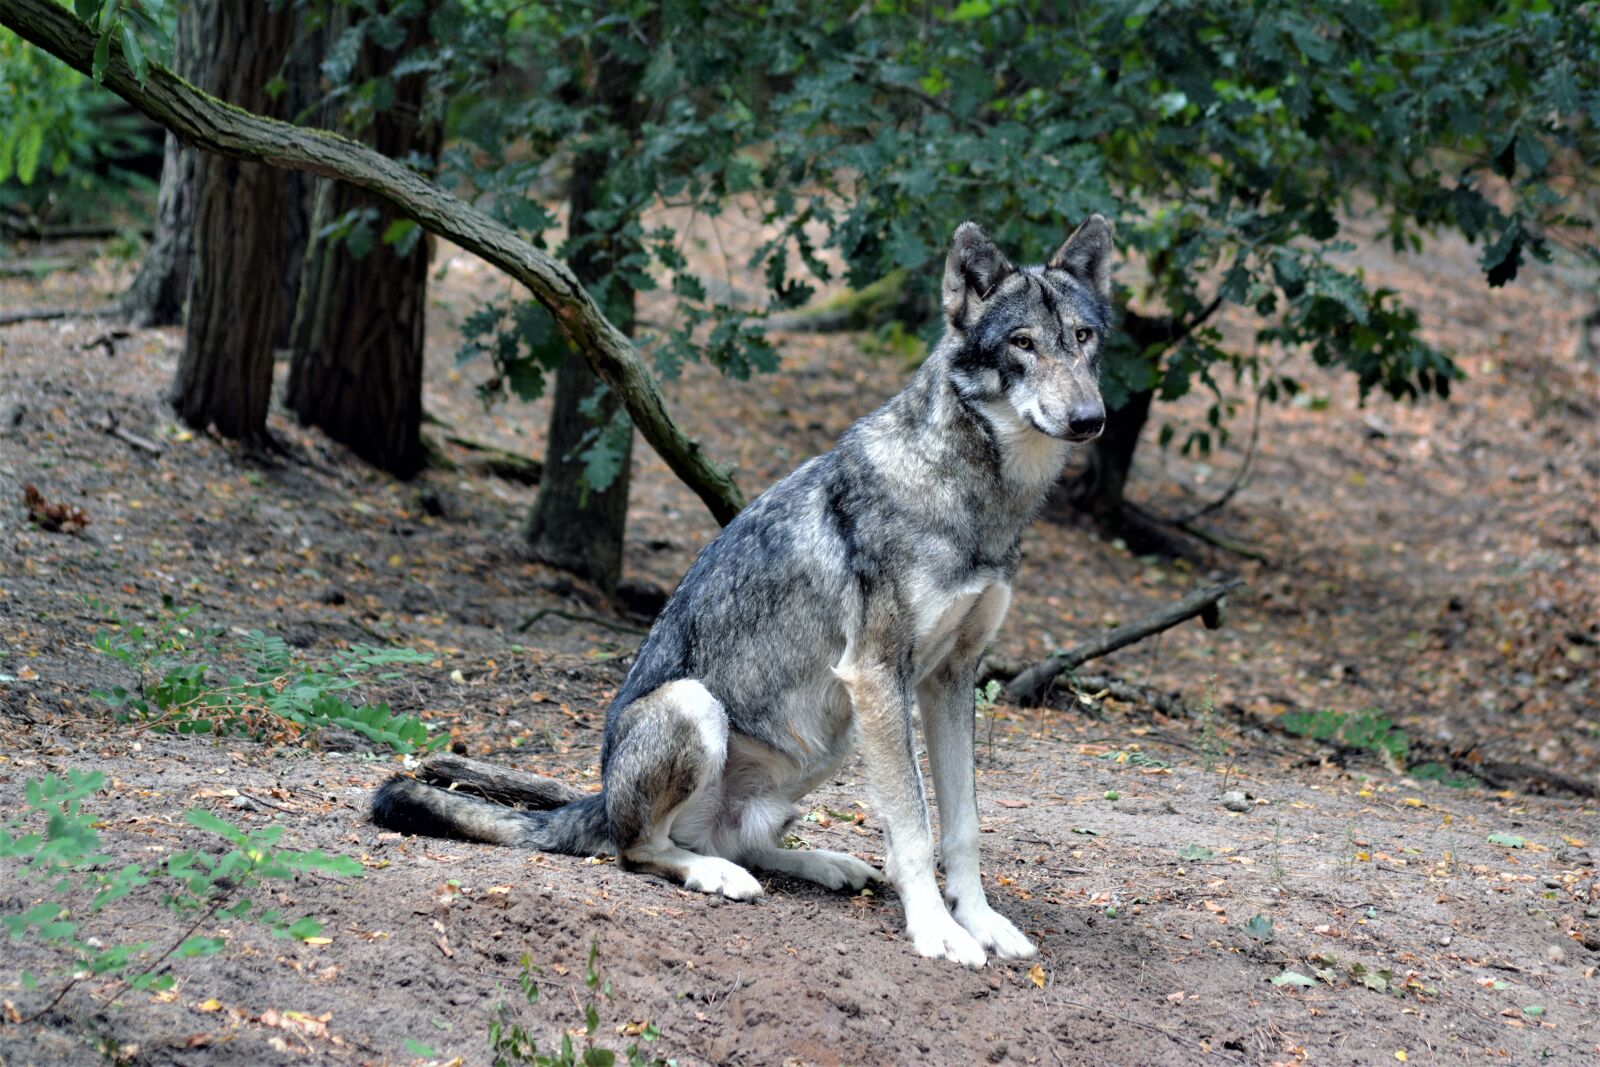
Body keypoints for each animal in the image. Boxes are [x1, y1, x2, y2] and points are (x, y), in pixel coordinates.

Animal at [372, 216, 1113, 968]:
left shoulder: (950, 680)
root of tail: (601, 796)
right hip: (704, 706)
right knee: (641, 851)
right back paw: (714, 874)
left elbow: (962, 825)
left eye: (1084, 337)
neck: (976, 496)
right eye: (1022, 342)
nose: (1090, 419)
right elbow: (913, 824)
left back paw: (825, 863)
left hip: (828, 735)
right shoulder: (880, 676)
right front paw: (937, 930)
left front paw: (983, 921)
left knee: (741, 841)